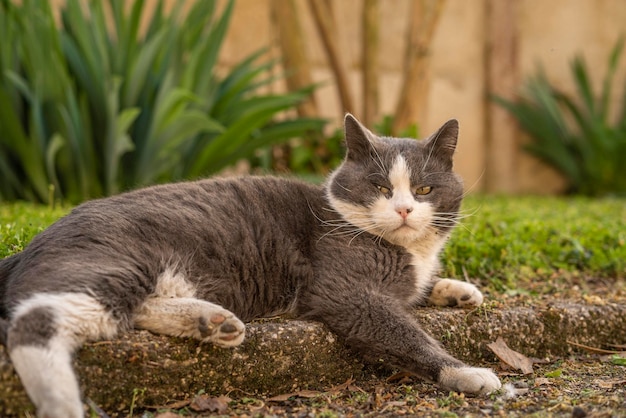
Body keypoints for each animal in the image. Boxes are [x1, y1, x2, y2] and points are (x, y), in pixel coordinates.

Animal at [0, 114, 500, 418]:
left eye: (424, 189)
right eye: (380, 187)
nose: (404, 210)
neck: (405, 249)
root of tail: (29, 246)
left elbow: (419, 287)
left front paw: (458, 290)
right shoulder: (344, 290)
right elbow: (404, 330)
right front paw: (468, 373)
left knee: (132, 310)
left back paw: (212, 322)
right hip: (115, 260)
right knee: (35, 320)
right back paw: (62, 402)